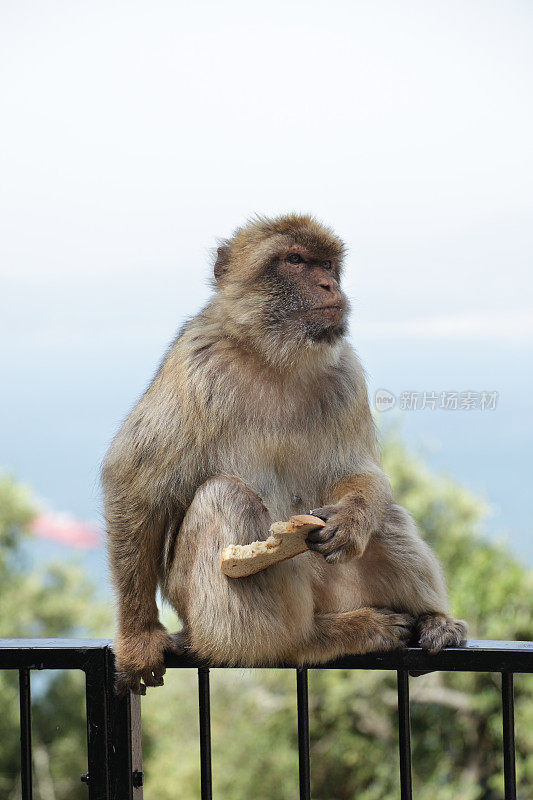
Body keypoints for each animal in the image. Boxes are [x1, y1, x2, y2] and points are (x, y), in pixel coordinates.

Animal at [101, 212, 466, 692]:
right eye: (295, 260)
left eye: (327, 265)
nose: (329, 285)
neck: (274, 357)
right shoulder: (196, 362)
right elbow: (133, 482)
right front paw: (139, 637)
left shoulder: (347, 372)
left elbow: (359, 472)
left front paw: (352, 519)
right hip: (216, 604)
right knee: (226, 496)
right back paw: (309, 639)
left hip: (337, 586)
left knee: (385, 513)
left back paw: (431, 619)